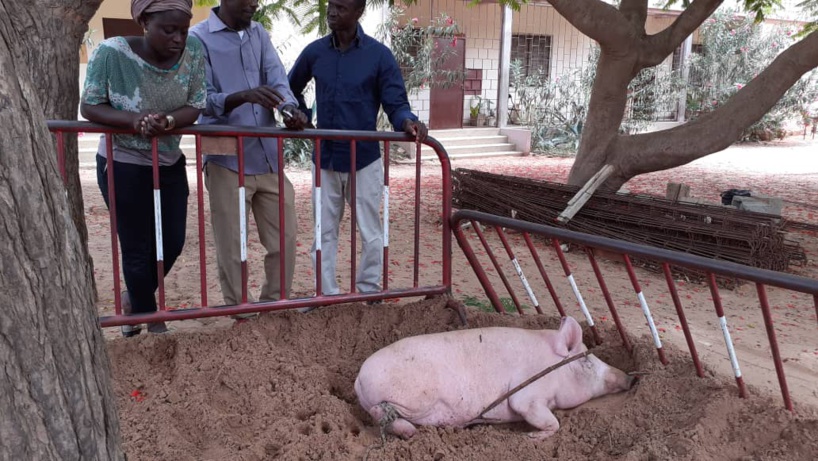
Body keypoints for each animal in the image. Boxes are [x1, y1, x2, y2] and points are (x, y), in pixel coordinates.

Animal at [354, 316, 634, 440]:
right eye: (587, 362)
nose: (630, 379)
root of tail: (359, 378)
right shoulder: (526, 395)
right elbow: (548, 420)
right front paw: (531, 438)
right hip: (414, 397)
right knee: (382, 413)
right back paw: (412, 432)